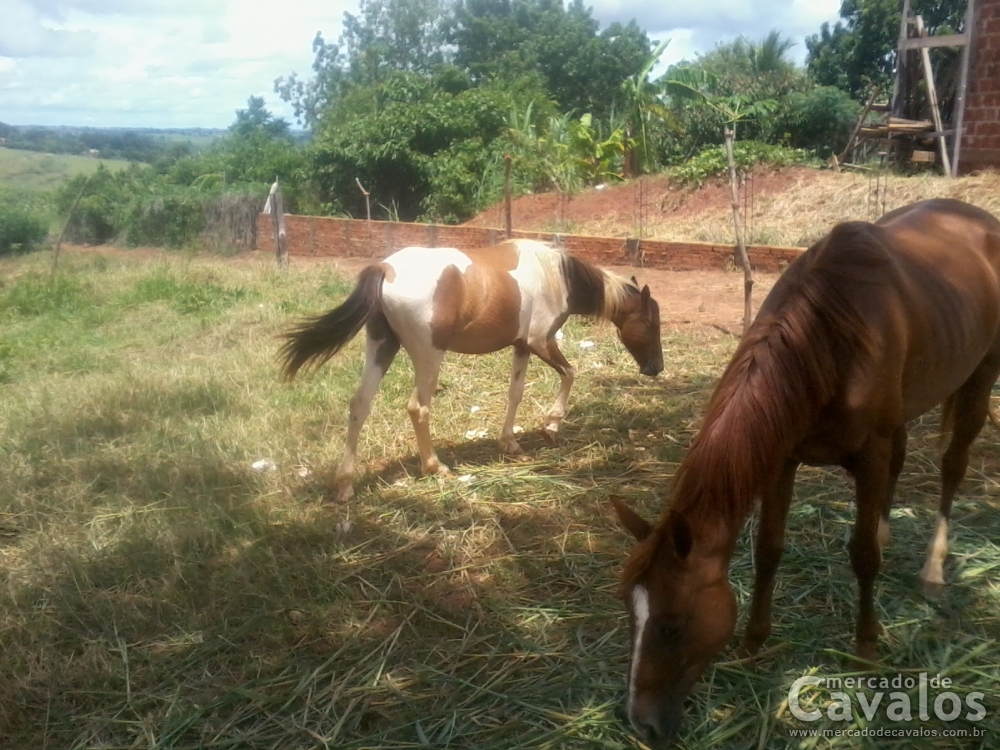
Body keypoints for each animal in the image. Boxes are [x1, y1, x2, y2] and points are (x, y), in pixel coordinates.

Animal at [280, 238, 664, 502]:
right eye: (650, 323)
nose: (655, 368)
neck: (557, 276)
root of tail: (386, 269)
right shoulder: (540, 341)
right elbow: (571, 373)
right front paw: (551, 426)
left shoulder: (522, 346)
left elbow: (515, 393)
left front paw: (510, 442)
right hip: (428, 355)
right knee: (418, 408)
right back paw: (435, 467)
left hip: (381, 346)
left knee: (359, 405)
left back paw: (345, 485)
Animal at [610, 198, 1000, 747]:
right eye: (629, 610)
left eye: (671, 624)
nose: (641, 723)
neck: (831, 335)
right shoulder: (782, 456)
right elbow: (768, 550)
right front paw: (753, 643)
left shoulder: (870, 451)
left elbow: (861, 556)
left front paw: (865, 648)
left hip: (980, 376)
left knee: (952, 467)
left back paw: (933, 568)